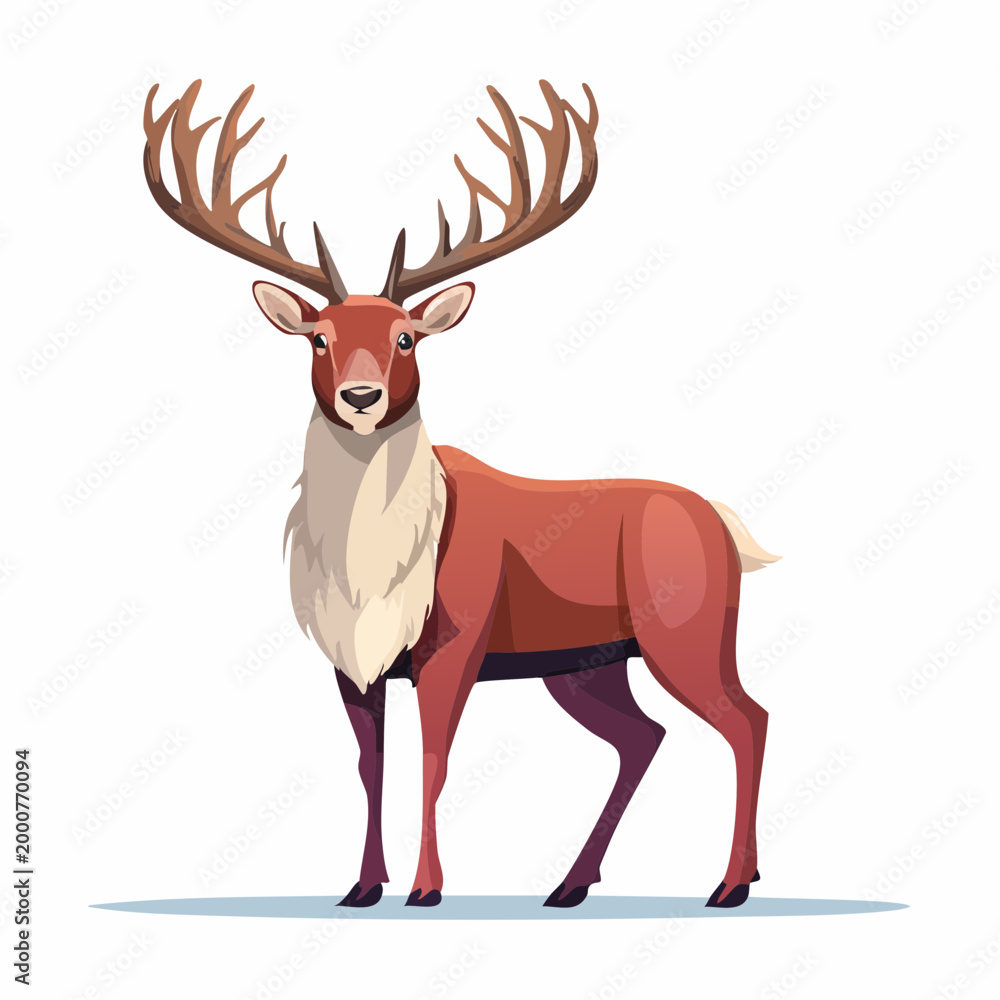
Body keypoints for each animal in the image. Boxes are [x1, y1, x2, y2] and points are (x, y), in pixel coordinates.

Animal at [142, 78, 780, 910]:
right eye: (318, 336)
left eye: (407, 336)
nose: (360, 396)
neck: (373, 576)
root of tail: (727, 526)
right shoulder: (351, 659)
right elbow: (370, 765)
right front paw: (361, 886)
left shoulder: (459, 637)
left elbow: (433, 760)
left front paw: (425, 888)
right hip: (588, 663)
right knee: (645, 736)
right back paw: (571, 884)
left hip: (688, 632)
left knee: (747, 718)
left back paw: (732, 882)